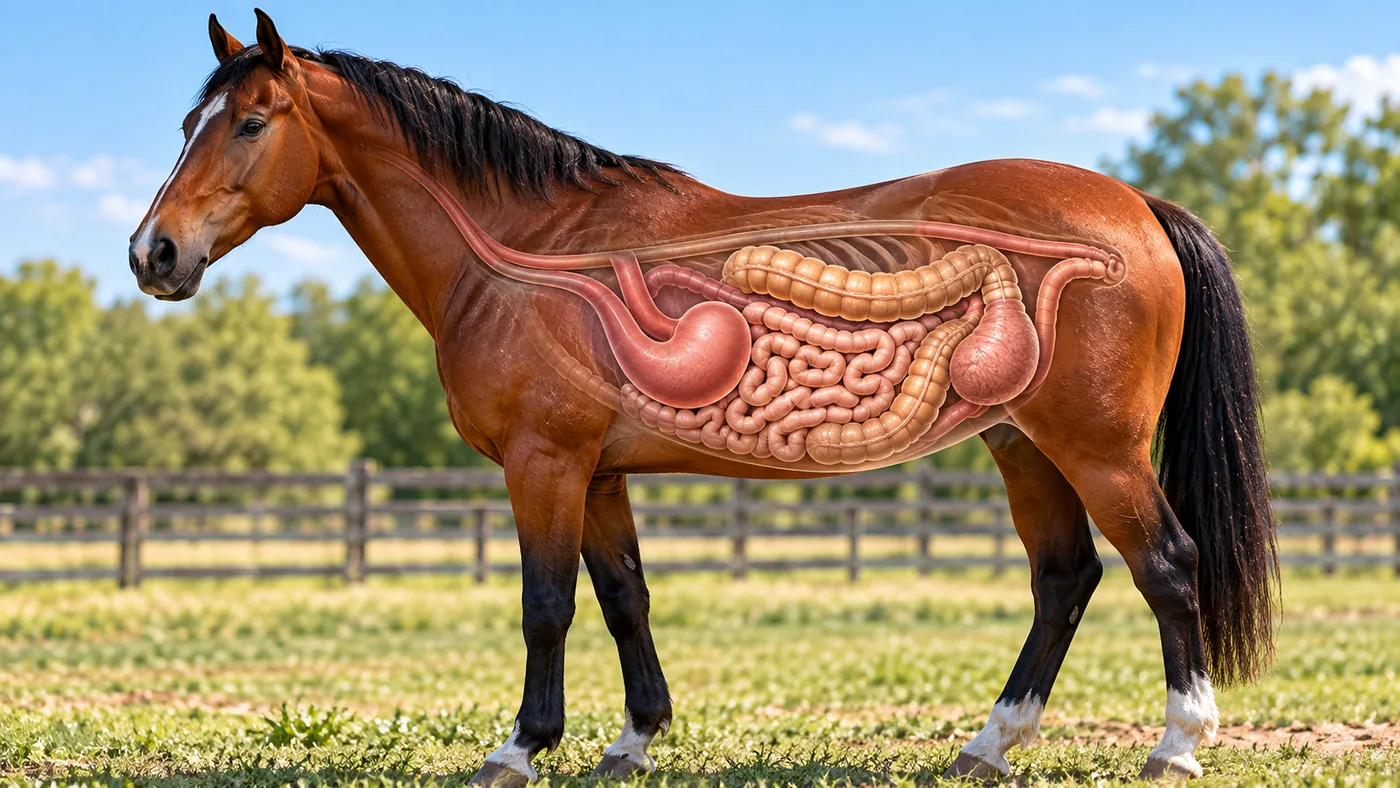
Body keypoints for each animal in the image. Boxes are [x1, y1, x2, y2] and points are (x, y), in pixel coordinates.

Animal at [127, 10, 1277, 783]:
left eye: (251, 123)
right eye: (187, 120)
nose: (154, 252)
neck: (529, 254)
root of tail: (1135, 204)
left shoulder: (543, 464)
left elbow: (545, 606)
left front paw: (520, 746)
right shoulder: (598, 473)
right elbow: (623, 597)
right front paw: (630, 740)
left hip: (1096, 446)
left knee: (1165, 565)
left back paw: (1177, 744)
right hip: (1022, 443)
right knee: (1063, 577)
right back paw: (987, 743)